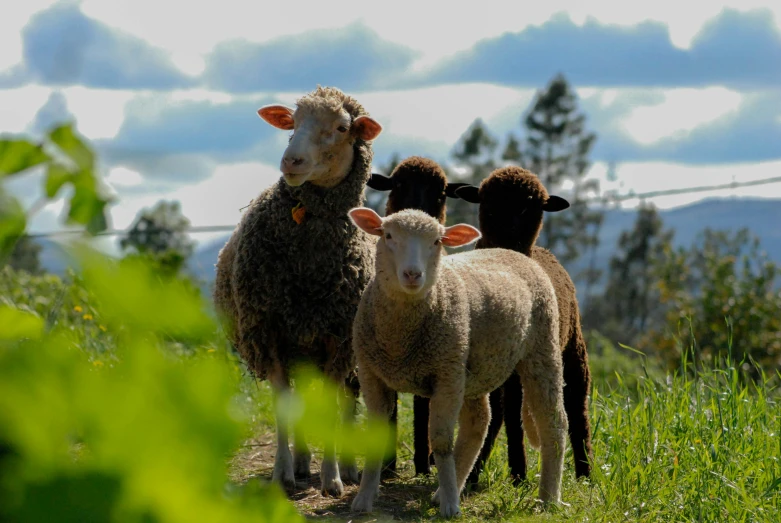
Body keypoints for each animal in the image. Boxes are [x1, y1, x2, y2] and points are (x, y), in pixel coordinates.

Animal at [212, 84, 382, 498]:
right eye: (292, 123)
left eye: (341, 128)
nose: (291, 161)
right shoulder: (270, 332)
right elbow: (284, 408)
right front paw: (283, 473)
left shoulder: (338, 339)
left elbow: (334, 409)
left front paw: (332, 477)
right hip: (301, 351)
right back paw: (304, 463)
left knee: (347, 404)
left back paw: (348, 470)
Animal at [348, 207, 568, 516]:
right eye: (388, 236)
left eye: (437, 242)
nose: (413, 274)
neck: (400, 337)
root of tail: (513, 252)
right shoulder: (371, 374)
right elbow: (374, 438)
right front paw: (364, 499)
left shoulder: (446, 375)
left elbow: (441, 443)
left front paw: (451, 507)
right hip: (472, 366)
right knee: (478, 422)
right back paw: (446, 488)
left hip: (542, 347)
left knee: (553, 421)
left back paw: (548, 498)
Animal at [454, 165, 596, 488]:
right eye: (487, 204)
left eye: (530, 208)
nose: (509, 240)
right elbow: (499, 413)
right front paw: (479, 471)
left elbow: (512, 415)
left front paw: (518, 474)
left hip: (571, 350)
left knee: (577, 407)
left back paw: (585, 474)